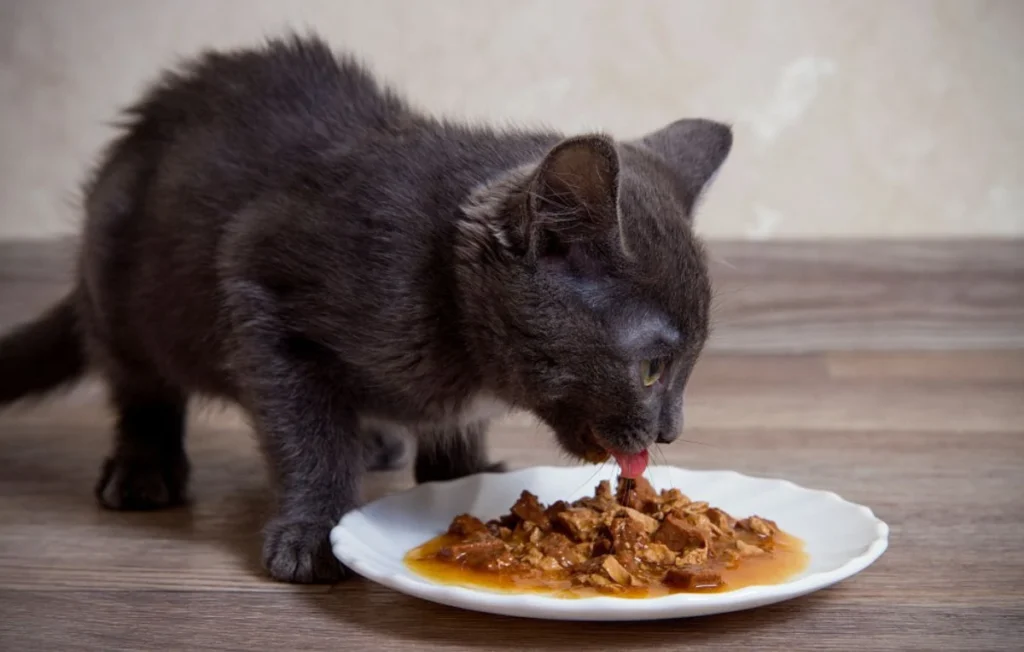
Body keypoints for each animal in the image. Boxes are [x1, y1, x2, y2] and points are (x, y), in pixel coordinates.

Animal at [0, 34, 729, 581]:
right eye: (652, 370)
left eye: (691, 364)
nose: (671, 431)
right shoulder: (261, 287)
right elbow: (306, 433)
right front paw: (313, 533)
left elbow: (450, 430)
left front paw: (459, 473)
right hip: (122, 289)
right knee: (141, 388)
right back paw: (143, 469)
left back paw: (376, 437)